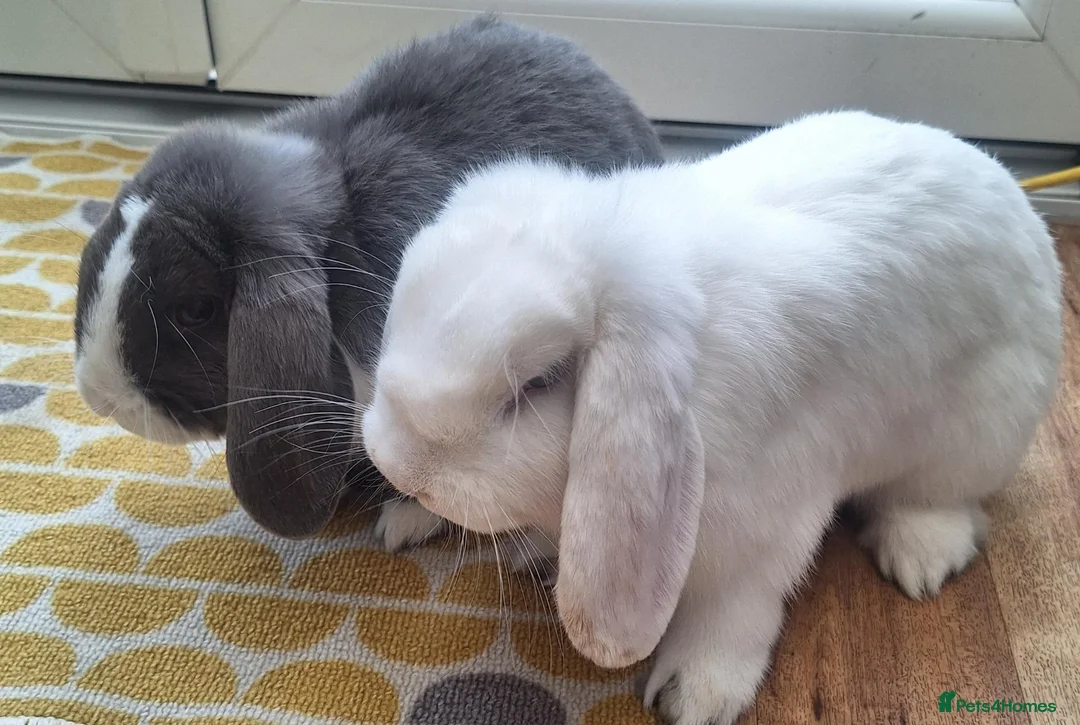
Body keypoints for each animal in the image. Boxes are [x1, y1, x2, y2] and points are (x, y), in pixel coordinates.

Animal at [359, 110, 1062, 725]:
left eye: (537, 385)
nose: (402, 468)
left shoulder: (760, 531)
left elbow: (731, 614)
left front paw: (689, 695)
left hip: (973, 434)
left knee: (941, 501)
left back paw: (919, 557)